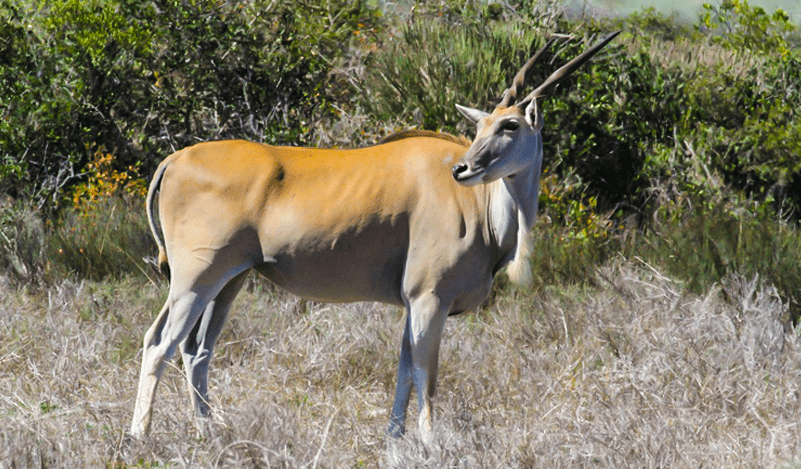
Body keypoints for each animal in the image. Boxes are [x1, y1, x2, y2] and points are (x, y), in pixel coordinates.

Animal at [130, 31, 620, 438]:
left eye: (509, 125)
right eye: (482, 126)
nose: (463, 169)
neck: (479, 210)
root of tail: (175, 159)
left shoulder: (413, 306)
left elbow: (404, 371)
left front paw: (395, 441)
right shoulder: (428, 299)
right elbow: (426, 374)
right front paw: (429, 443)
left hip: (230, 280)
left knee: (196, 351)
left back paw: (210, 433)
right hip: (197, 277)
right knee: (159, 343)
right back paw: (141, 437)